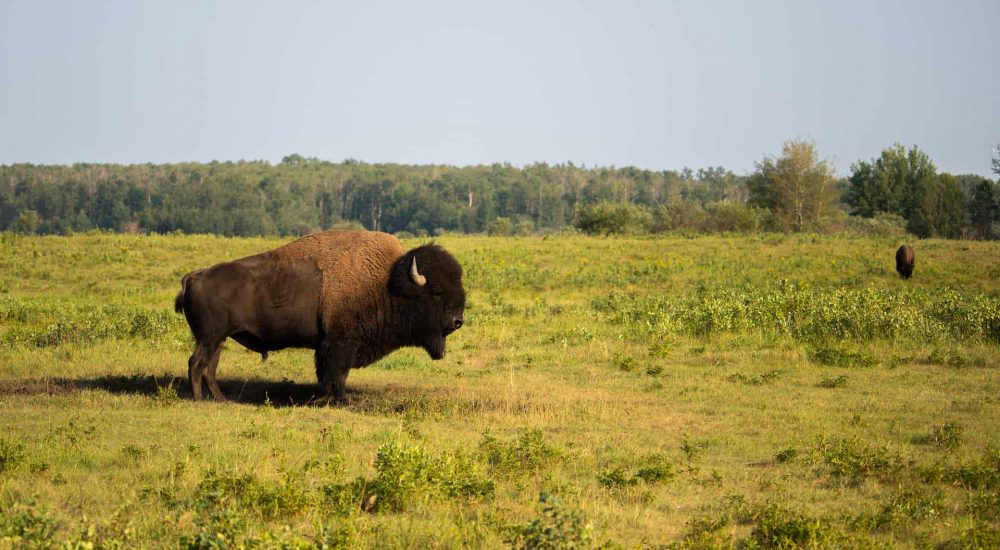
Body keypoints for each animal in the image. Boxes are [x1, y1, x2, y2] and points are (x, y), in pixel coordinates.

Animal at [173, 231, 464, 404]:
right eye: (436, 291)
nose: (458, 320)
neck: (387, 283)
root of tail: (194, 276)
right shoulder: (341, 343)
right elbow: (338, 373)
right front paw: (342, 400)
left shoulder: (328, 345)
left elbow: (326, 373)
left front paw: (324, 398)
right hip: (209, 338)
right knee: (196, 364)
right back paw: (199, 400)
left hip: (217, 339)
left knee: (209, 368)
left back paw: (221, 399)